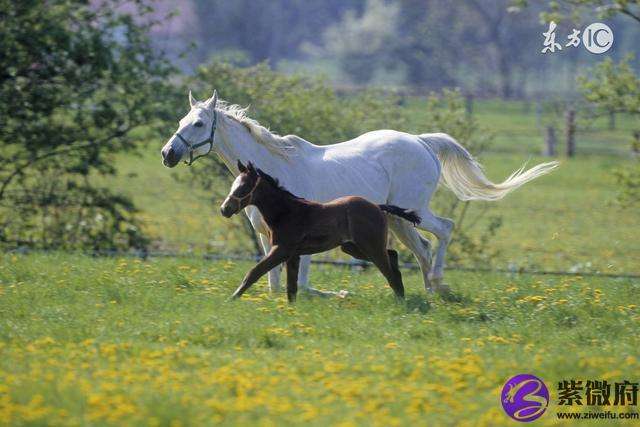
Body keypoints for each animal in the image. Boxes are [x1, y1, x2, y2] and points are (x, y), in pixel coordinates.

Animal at [220, 161, 420, 304]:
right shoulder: (293, 255)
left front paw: (232, 298)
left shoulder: (281, 250)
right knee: (392, 256)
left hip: (371, 247)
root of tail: (377, 207)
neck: (286, 212)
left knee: (390, 270)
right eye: (233, 185)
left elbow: (254, 272)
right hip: (353, 248)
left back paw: (400, 301)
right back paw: (401, 297)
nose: (224, 209)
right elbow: (291, 286)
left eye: (243, 187)